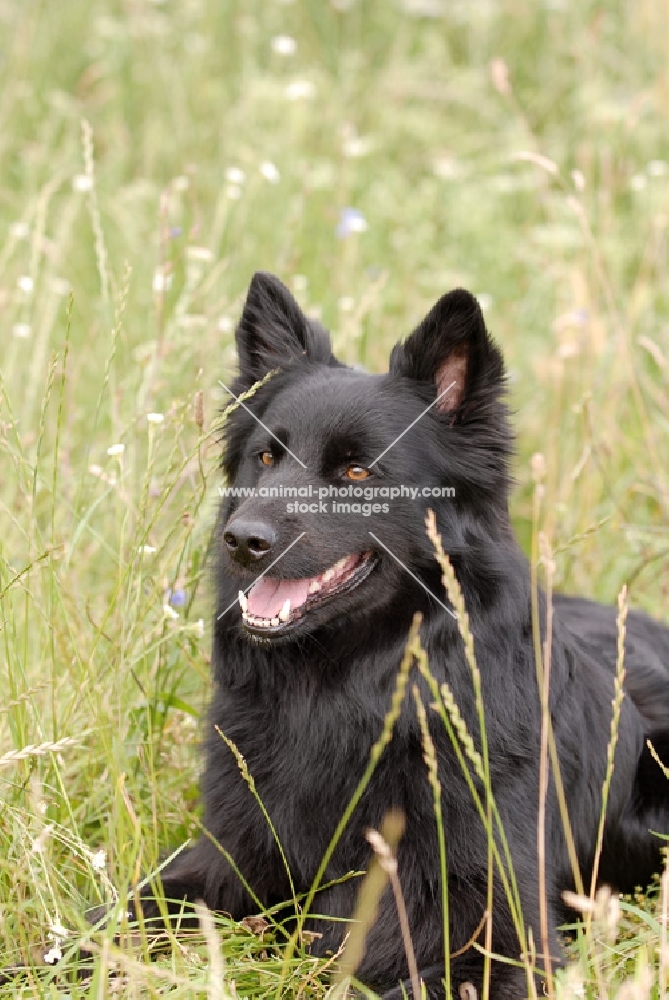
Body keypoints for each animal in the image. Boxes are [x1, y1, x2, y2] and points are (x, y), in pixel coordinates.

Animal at [138, 274, 664, 1000]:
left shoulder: (502, 940)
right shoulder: (224, 862)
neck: (344, 696)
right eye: (266, 456)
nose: (242, 541)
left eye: (357, 473)